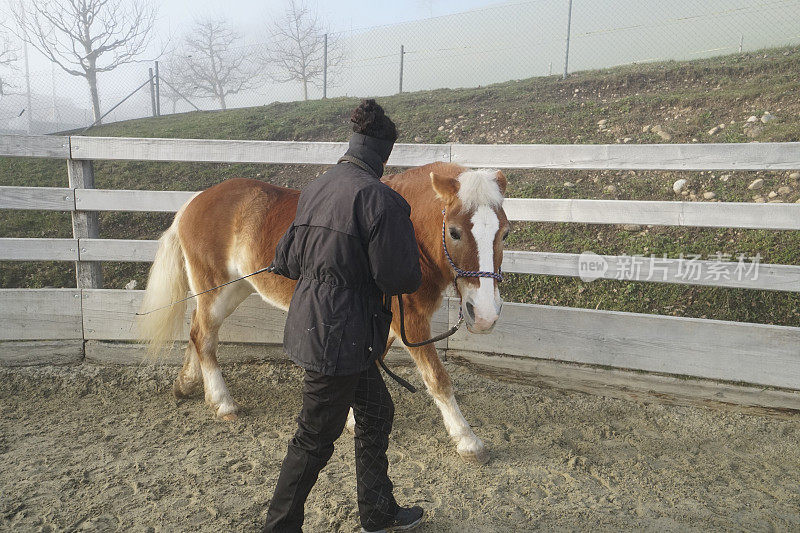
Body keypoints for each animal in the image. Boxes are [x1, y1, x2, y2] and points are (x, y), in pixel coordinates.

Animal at [139, 161, 506, 462]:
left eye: (504, 232)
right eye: (455, 232)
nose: (485, 315)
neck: (408, 233)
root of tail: (194, 202)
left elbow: (367, 365)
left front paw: (353, 420)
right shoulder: (411, 321)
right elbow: (438, 379)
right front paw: (468, 441)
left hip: (234, 290)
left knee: (197, 333)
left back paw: (186, 384)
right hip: (216, 290)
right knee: (204, 337)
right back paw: (222, 402)